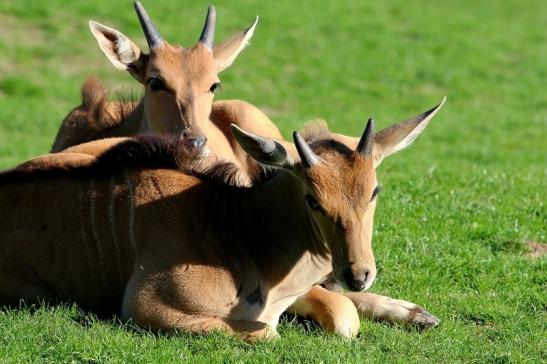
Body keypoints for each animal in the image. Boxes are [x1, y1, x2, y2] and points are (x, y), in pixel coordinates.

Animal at [0, 99, 446, 338]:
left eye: (374, 191)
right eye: (312, 199)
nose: (358, 273)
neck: (238, 229)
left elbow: (340, 316)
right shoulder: (145, 308)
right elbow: (267, 331)